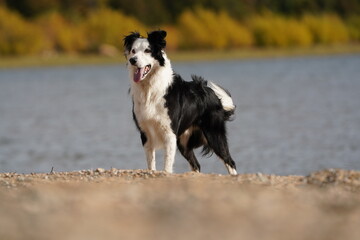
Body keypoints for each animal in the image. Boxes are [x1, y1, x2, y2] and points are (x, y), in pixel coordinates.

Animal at [124, 31, 239, 175]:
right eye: (133, 51)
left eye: (147, 50)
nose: (132, 60)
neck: (149, 90)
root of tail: (216, 97)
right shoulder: (145, 132)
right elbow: (151, 163)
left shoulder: (169, 133)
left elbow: (167, 164)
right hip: (184, 142)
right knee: (196, 164)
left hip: (214, 134)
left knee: (230, 161)